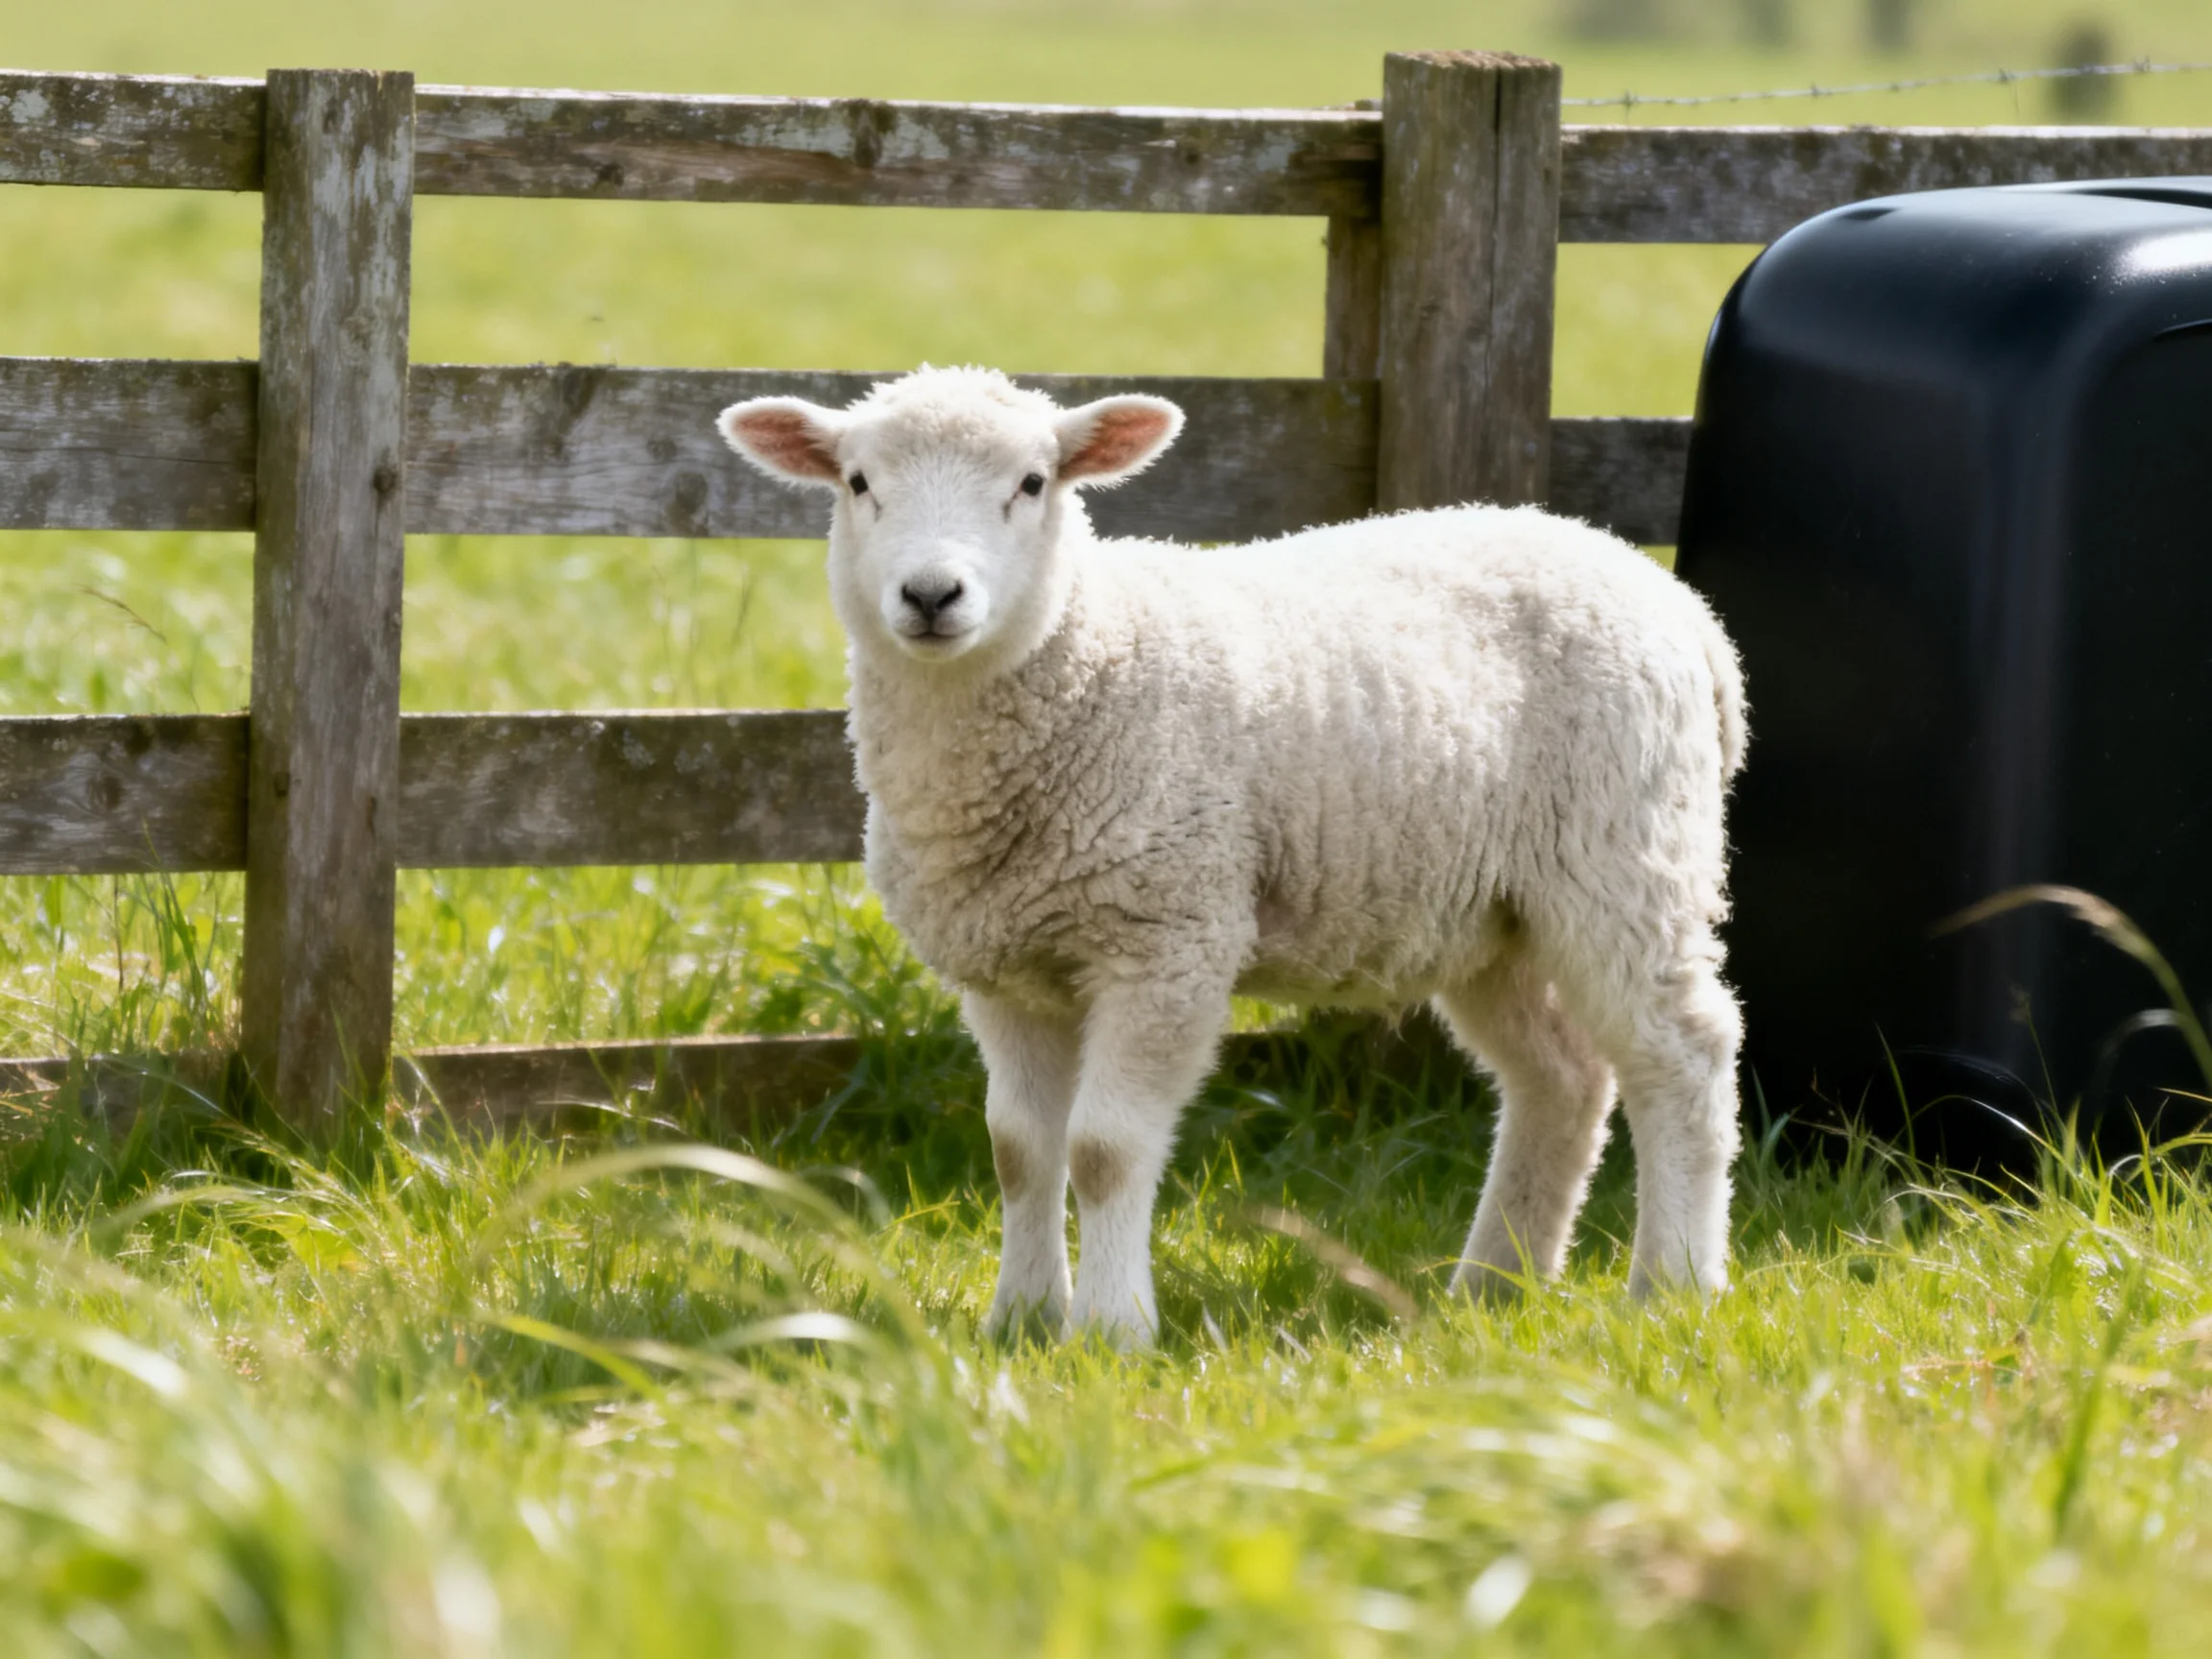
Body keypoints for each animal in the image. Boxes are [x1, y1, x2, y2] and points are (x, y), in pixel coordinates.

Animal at [716, 366, 1747, 1347]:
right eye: (858, 483)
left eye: (1033, 482)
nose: (932, 596)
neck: (1088, 658)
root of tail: (1679, 604)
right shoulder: (1006, 969)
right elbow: (1019, 1151)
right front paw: (1022, 1319)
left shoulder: (1168, 941)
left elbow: (1103, 1151)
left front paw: (1110, 1332)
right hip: (1498, 914)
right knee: (1561, 1080)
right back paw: (1497, 1285)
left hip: (1627, 854)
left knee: (1682, 1057)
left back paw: (1673, 1287)